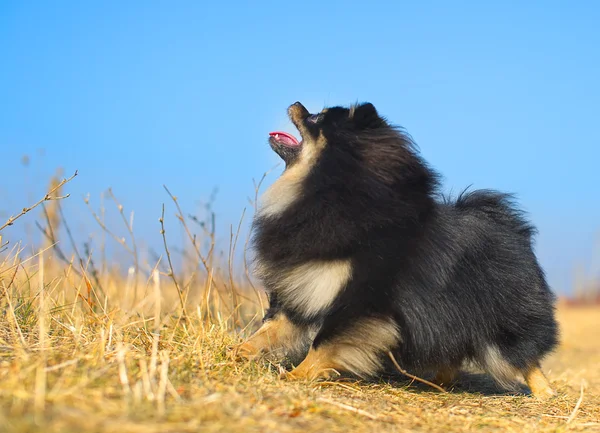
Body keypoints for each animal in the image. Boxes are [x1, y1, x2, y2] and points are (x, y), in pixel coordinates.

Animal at [237, 101, 560, 398]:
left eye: (317, 118)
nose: (296, 103)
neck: (326, 194)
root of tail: (511, 228)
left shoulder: (358, 300)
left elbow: (323, 342)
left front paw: (297, 375)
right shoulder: (301, 286)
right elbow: (269, 329)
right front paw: (238, 352)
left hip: (501, 320)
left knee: (523, 355)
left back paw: (544, 392)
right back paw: (436, 383)